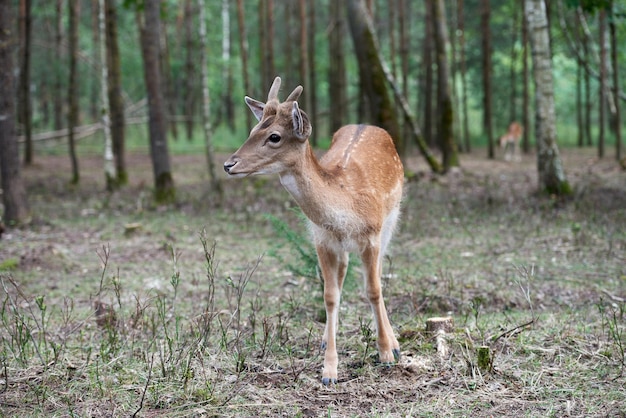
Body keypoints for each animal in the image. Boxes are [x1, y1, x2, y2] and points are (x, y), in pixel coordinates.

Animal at [222, 76, 402, 384]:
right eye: (253, 130)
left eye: (274, 137)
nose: (228, 164)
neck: (346, 208)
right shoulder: (321, 239)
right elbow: (329, 295)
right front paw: (329, 370)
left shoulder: (372, 235)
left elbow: (373, 289)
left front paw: (386, 354)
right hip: (341, 247)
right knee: (342, 277)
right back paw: (326, 339)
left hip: (392, 219)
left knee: (378, 274)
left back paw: (394, 342)